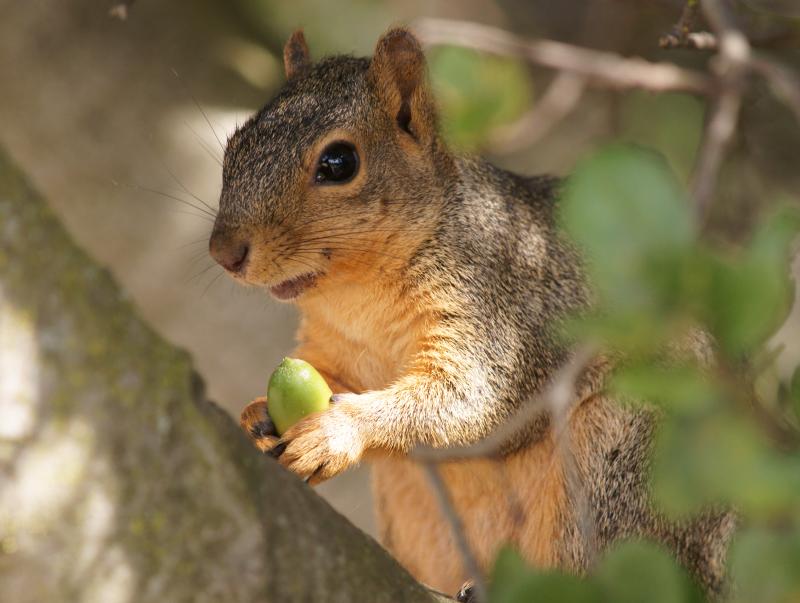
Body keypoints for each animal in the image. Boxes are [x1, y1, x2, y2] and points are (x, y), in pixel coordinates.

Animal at [208, 28, 736, 598]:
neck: (359, 295)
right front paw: (254, 414)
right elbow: (333, 377)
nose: (224, 251)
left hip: (623, 465)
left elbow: (472, 401)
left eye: (339, 163)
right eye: (234, 146)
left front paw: (337, 432)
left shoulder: (500, 307)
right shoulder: (336, 347)